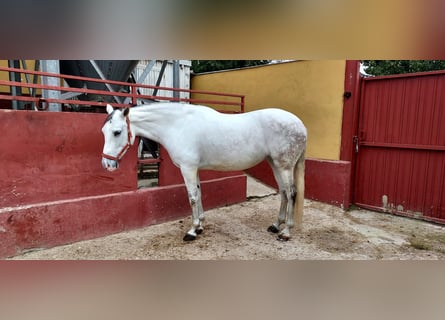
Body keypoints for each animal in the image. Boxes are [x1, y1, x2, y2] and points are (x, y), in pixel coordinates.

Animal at [102, 102, 306, 240]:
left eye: (117, 132)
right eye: (104, 131)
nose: (107, 164)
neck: (178, 125)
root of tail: (301, 125)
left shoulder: (188, 168)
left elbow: (192, 197)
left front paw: (192, 231)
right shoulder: (194, 169)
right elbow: (199, 194)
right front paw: (200, 225)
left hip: (284, 166)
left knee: (291, 193)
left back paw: (286, 231)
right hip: (275, 164)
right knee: (283, 192)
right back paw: (275, 225)